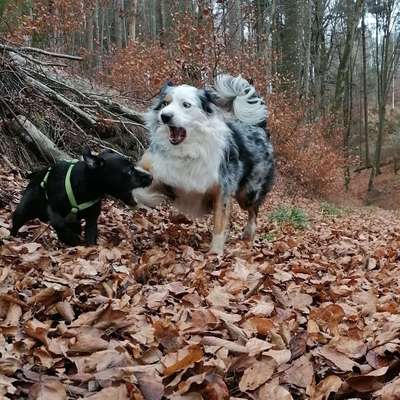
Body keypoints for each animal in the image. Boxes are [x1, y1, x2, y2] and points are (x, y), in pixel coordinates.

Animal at [10, 148, 152, 245]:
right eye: (129, 170)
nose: (150, 177)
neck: (87, 188)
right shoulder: (52, 208)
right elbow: (58, 222)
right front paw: (70, 238)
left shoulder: (92, 219)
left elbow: (90, 237)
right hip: (23, 210)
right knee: (16, 223)